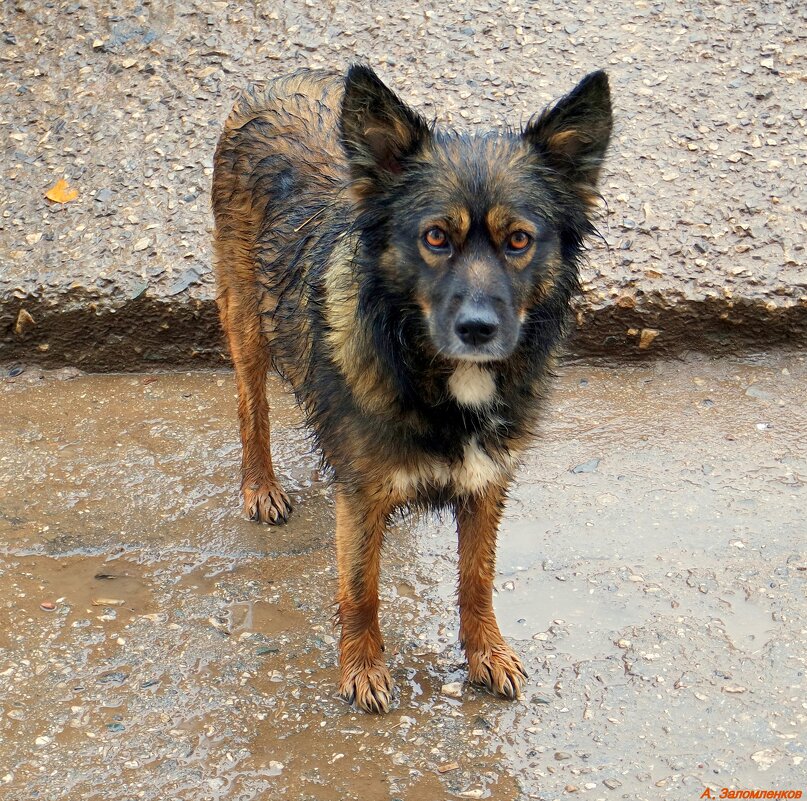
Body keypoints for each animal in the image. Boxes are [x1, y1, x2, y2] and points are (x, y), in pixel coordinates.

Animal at [210, 64, 612, 712]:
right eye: (436, 237)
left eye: (519, 240)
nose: (478, 329)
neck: (437, 373)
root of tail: (277, 80)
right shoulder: (362, 494)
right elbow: (361, 589)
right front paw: (363, 668)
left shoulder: (486, 480)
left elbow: (476, 579)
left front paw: (486, 653)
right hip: (246, 315)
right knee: (252, 406)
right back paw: (261, 486)